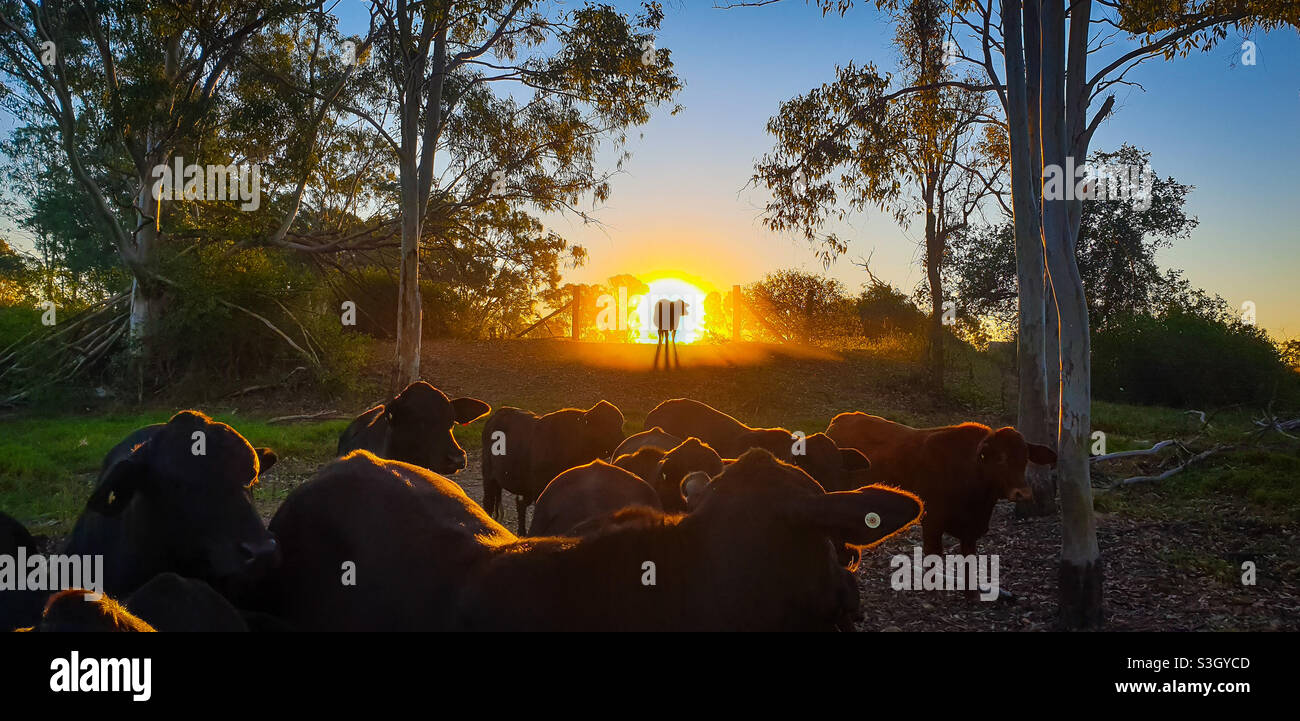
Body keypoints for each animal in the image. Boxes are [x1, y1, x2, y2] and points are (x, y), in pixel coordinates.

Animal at [480, 400, 626, 530]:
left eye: (619, 424)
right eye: (605, 425)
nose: (622, 441)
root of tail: (497, 415)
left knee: (520, 505)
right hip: (489, 476)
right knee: (488, 503)